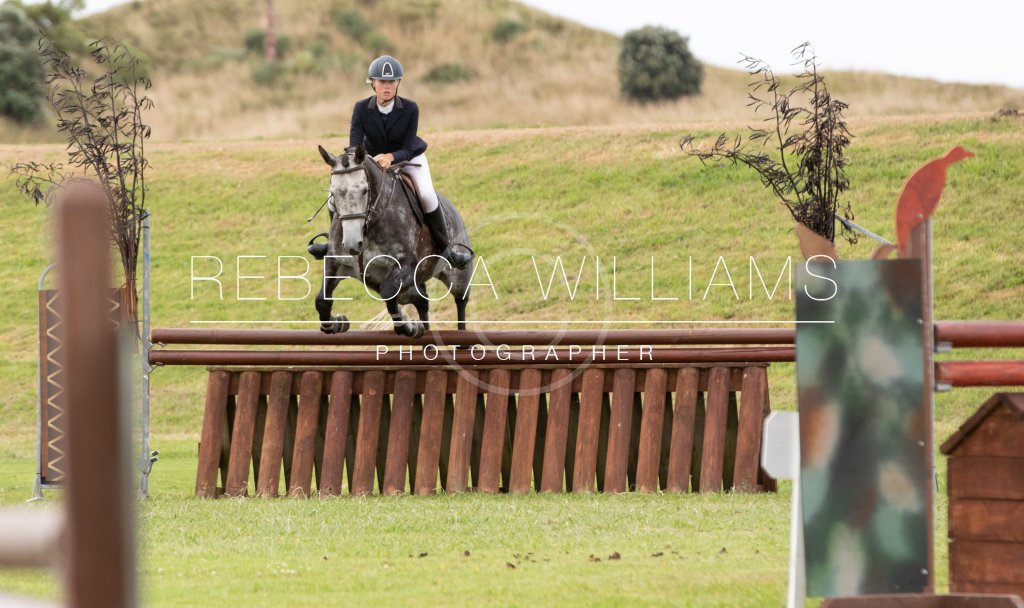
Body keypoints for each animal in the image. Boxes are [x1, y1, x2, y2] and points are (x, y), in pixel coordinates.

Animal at [315, 144, 472, 336]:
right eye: (333, 194)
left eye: (365, 190)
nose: (352, 245)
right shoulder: (337, 262)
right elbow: (321, 300)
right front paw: (335, 323)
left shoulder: (407, 268)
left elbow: (388, 293)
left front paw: (407, 325)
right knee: (422, 302)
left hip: (458, 277)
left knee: (460, 300)